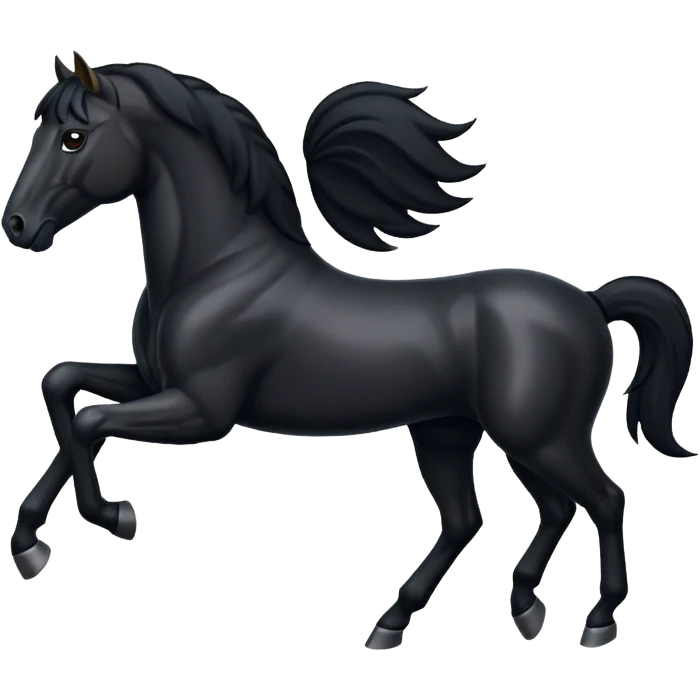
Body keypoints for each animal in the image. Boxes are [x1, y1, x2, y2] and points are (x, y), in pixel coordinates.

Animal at [3, 53, 695, 650]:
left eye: (74, 137)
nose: (17, 226)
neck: (216, 269)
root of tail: (592, 302)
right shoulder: (152, 383)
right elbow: (64, 388)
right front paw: (31, 543)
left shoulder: (201, 411)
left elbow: (89, 422)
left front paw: (113, 517)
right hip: (458, 433)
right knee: (503, 515)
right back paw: (466, 615)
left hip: (542, 435)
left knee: (602, 501)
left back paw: (596, 621)